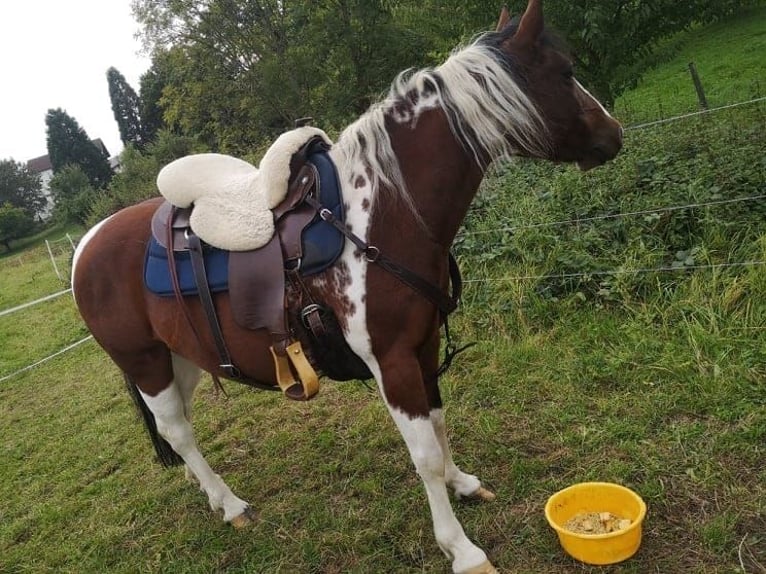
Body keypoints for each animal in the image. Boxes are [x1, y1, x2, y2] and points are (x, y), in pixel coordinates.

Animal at [72, 2, 624, 572]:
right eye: (565, 72)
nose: (614, 134)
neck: (382, 215)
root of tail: (86, 243)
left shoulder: (425, 347)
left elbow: (439, 422)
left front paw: (463, 483)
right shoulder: (393, 361)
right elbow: (424, 455)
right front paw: (461, 548)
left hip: (179, 358)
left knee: (177, 426)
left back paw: (208, 492)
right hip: (145, 362)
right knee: (176, 430)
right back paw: (232, 505)